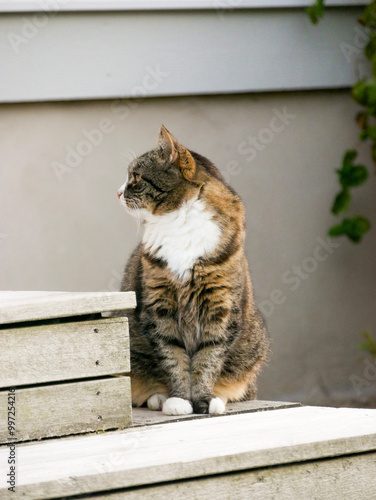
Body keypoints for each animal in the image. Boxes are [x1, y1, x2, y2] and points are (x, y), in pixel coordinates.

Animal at [117, 127, 268, 416]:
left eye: (135, 177)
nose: (117, 193)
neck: (179, 223)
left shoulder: (219, 308)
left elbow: (208, 359)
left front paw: (204, 400)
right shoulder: (159, 307)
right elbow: (172, 357)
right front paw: (179, 399)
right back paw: (159, 397)